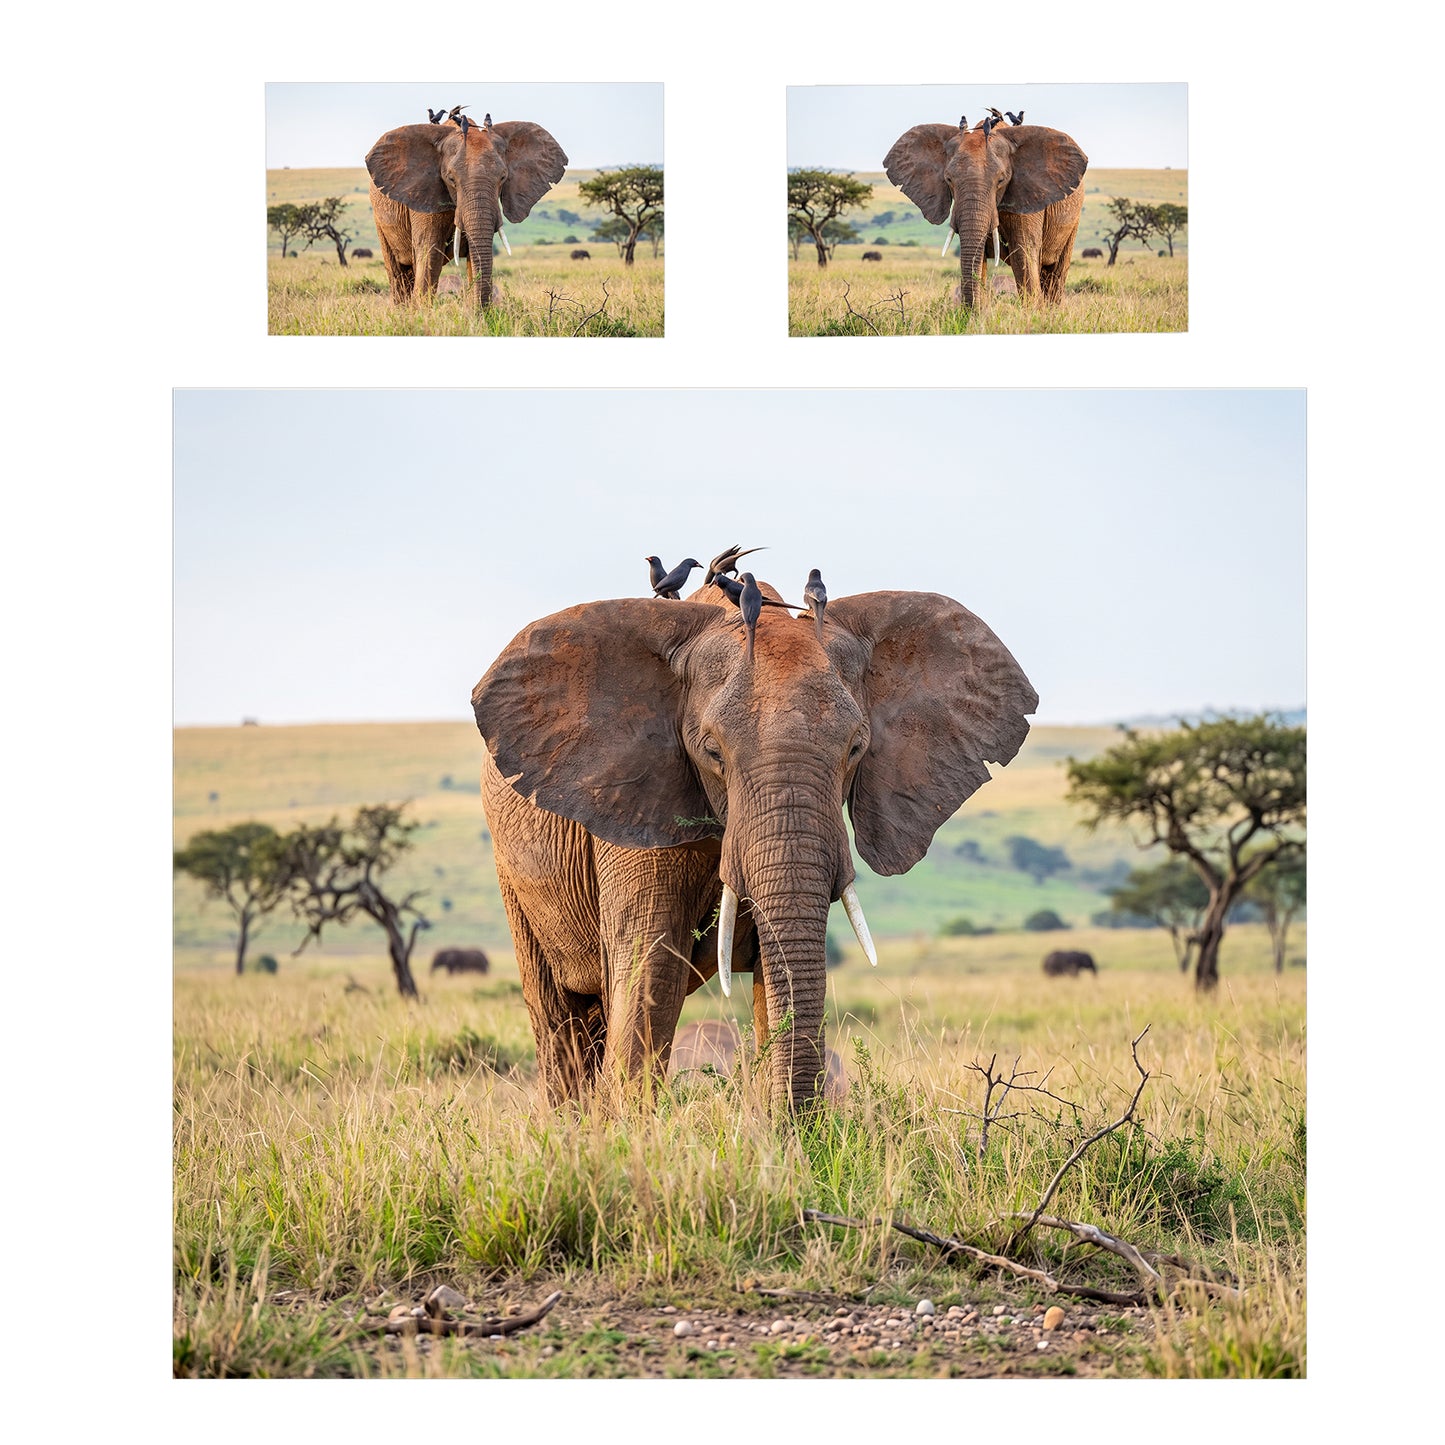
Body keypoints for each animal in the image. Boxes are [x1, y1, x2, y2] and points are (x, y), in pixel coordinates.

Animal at [364, 119, 568, 308]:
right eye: (451, 179)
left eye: (503, 177)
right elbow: (430, 252)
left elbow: (473, 254)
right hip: (380, 221)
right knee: (398, 273)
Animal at [471, 573, 1037, 1111]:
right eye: (712, 753)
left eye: (857, 749)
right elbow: (651, 964)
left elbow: (773, 965)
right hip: (513, 876)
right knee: (560, 1019)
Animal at [883, 122, 1088, 308]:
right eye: (948, 179)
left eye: (1001, 180)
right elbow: (977, 257)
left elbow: (1023, 253)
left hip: (1073, 221)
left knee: (1055, 273)